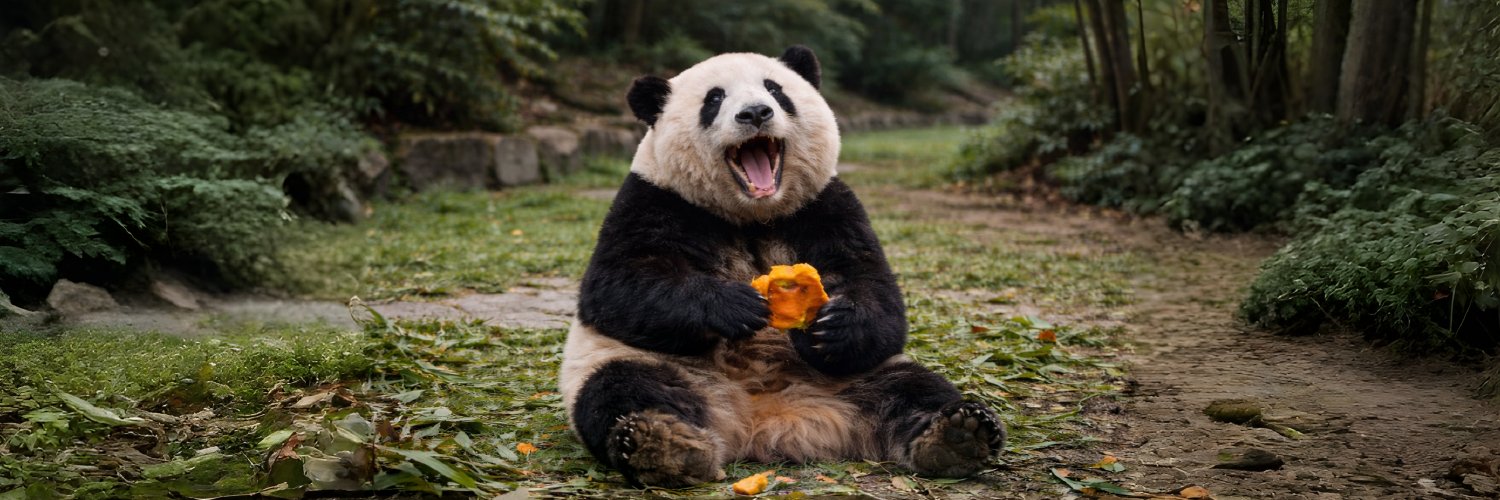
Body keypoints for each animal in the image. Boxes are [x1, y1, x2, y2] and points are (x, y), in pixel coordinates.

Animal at [558, 46, 1005, 488]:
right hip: (652, 365)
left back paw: (957, 435)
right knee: (623, 388)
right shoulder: (654, 200)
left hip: (856, 378)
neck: (753, 215)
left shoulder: (826, 205)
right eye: (714, 99)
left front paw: (831, 325)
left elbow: (874, 289)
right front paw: (736, 306)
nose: (755, 113)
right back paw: (661, 442)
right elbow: (618, 288)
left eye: (775, 89)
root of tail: (764, 420)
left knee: (914, 389)